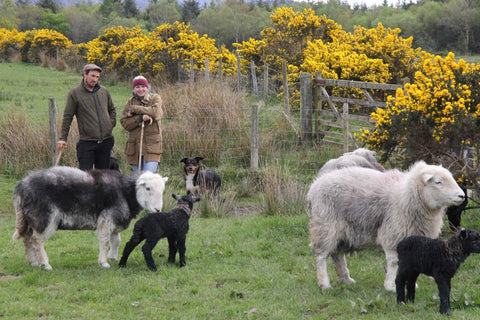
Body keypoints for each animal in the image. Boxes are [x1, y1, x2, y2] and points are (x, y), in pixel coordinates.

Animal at [308, 161, 464, 292]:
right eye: (438, 182)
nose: (462, 196)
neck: (407, 195)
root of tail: (314, 186)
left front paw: (411, 284)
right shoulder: (393, 234)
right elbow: (394, 262)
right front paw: (391, 286)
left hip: (342, 231)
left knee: (337, 255)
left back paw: (345, 279)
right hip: (325, 225)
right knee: (321, 255)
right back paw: (324, 283)